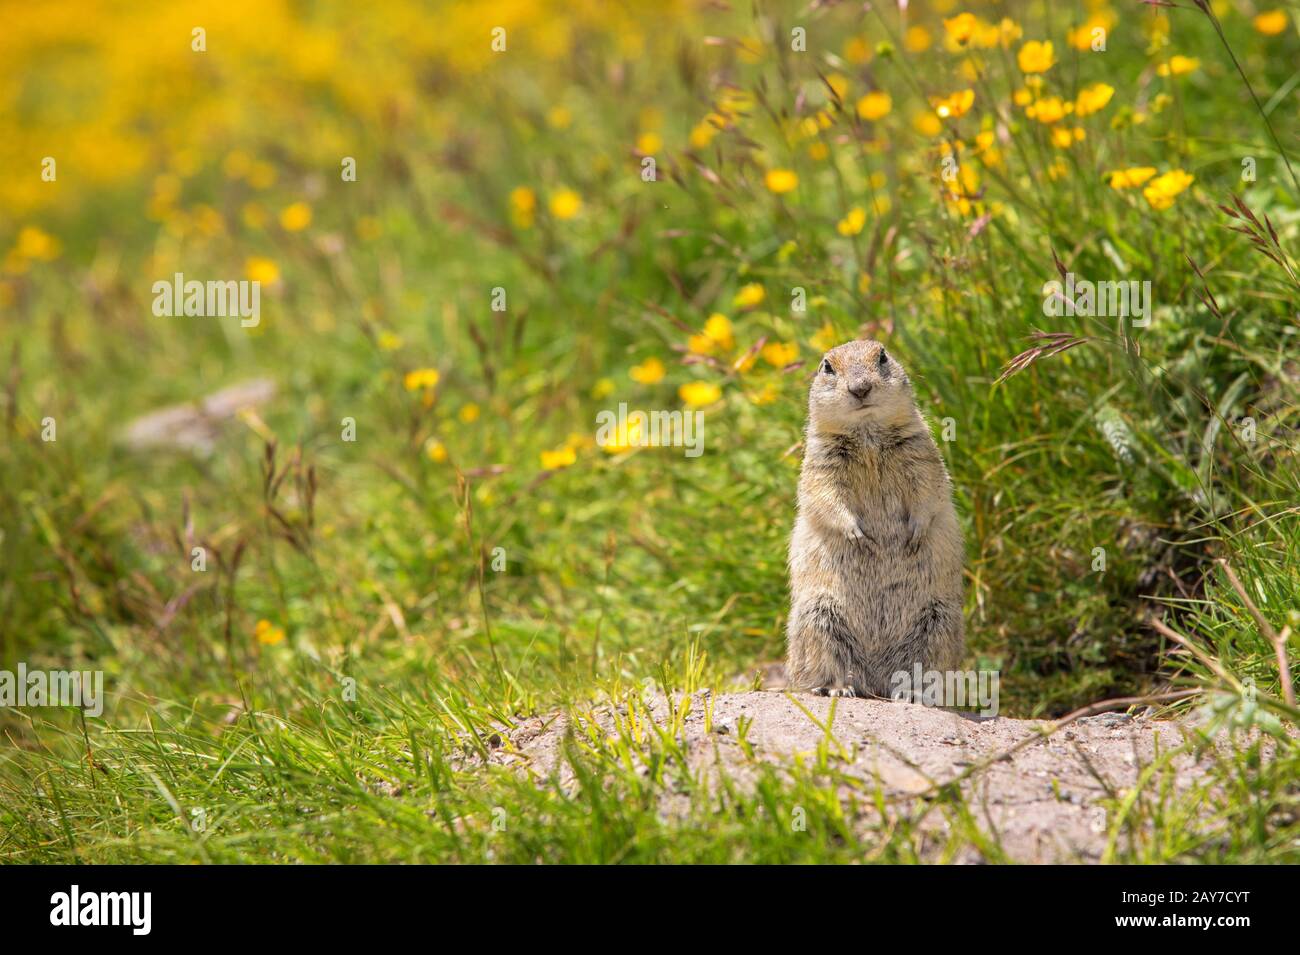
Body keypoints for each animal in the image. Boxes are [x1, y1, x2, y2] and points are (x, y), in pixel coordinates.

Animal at [785, 340, 961, 696]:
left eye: (882, 356)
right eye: (827, 366)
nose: (860, 388)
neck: (867, 435)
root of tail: (878, 680)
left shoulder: (920, 451)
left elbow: (929, 489)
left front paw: (916, 533)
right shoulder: (821, 462)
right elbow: (825, 496)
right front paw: (856, 535)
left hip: (939, 622)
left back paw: (912, 692)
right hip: (818, 617)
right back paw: (837, 688)